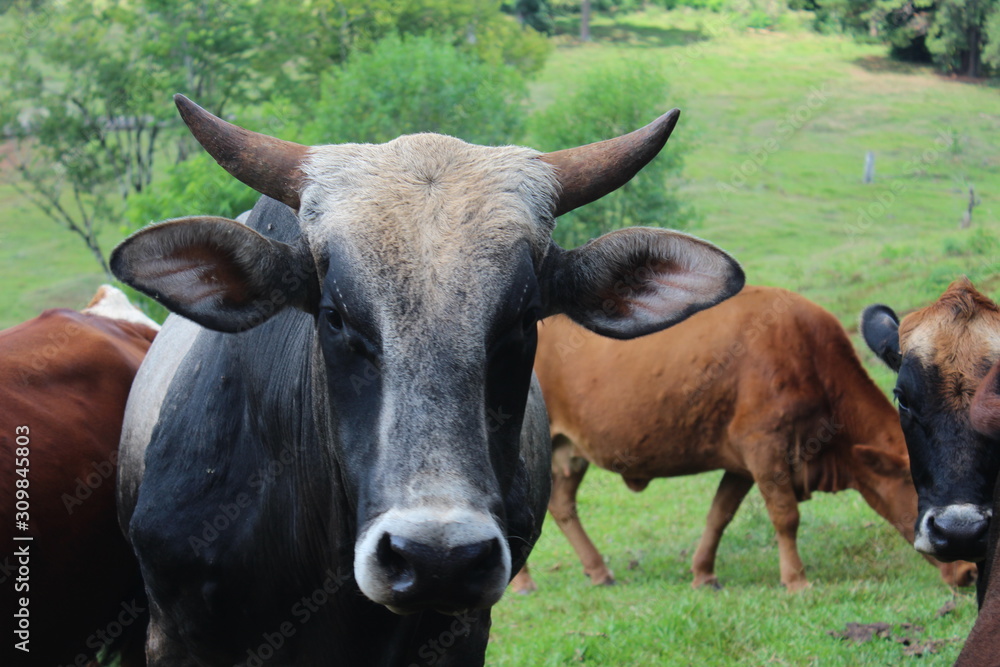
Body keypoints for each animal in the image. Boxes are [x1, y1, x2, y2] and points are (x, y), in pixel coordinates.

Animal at [512, 284, 972, 592]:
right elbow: (785, 517)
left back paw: (599, 571)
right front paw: (796, 580)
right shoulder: (765, 448)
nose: (969, 571)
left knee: (562, 505)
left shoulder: (741, 463)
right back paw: (522, 582)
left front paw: (703, 574)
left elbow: (719, 515)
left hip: (568, 451)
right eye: (921, 489)